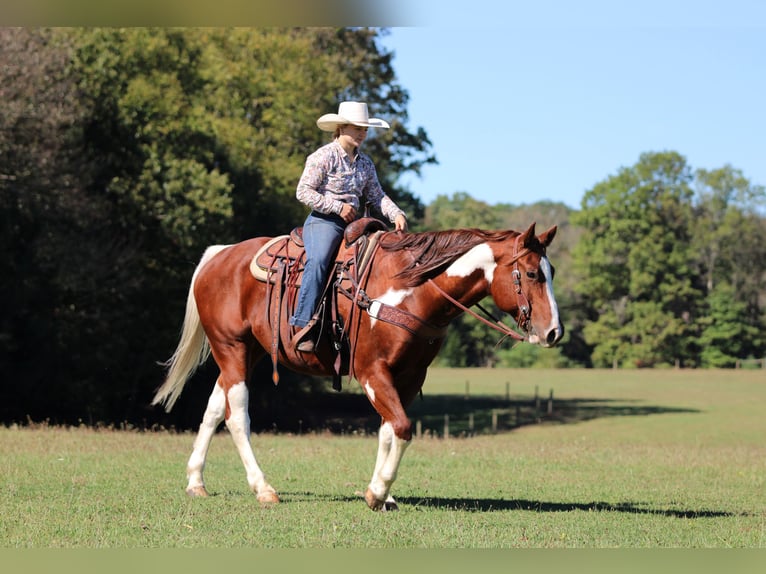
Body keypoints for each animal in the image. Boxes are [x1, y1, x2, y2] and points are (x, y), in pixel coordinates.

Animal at [152, 221, 563, 511]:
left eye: (552, 271)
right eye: (531, 273)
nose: (554, 332)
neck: (411, 289)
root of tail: (218, 256)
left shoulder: (408, 376)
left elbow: (388, 430)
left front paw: (384, 494)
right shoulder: (371, 372)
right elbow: (402, 427)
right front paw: (378, 492)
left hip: (248, 352)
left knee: (213, 407)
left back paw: (196, 482)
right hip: (232, 347)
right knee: (237, 415)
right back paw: (263, 488)